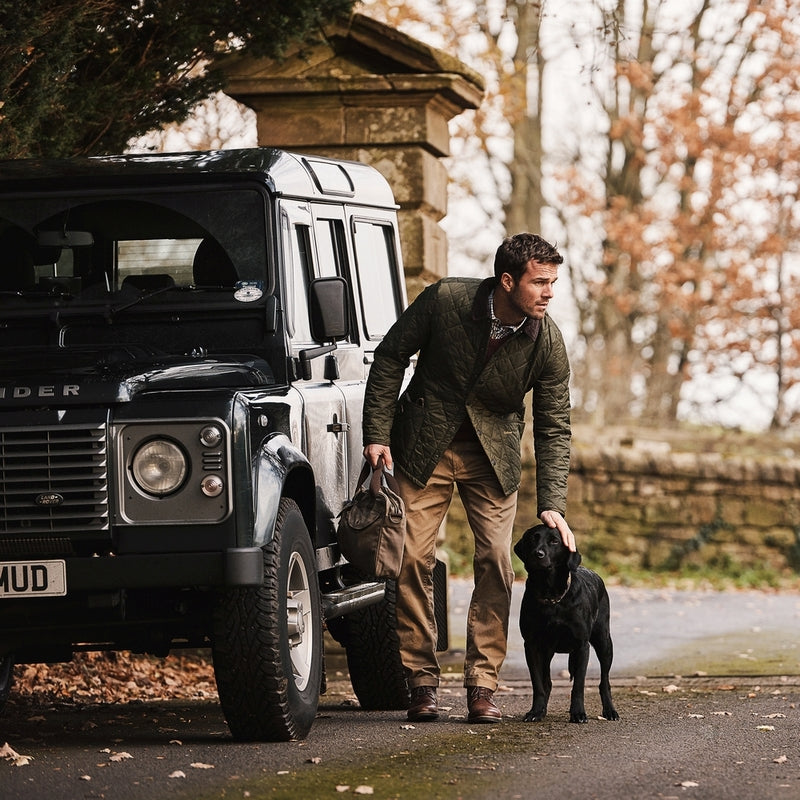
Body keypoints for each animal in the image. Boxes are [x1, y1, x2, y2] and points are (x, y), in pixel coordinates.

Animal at [512, 524, 620, 724]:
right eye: (533, 538)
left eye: (555, 541)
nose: (537, 554)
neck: (550, 595)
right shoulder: (532, 645)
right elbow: (538, 684)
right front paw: (536, 711)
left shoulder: (582, 646)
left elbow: (578, 685)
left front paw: (578, 713)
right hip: (547, 651)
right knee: (547, 682)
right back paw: (542, 709)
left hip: (604, 642)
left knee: (604, 681)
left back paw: (610, 711)